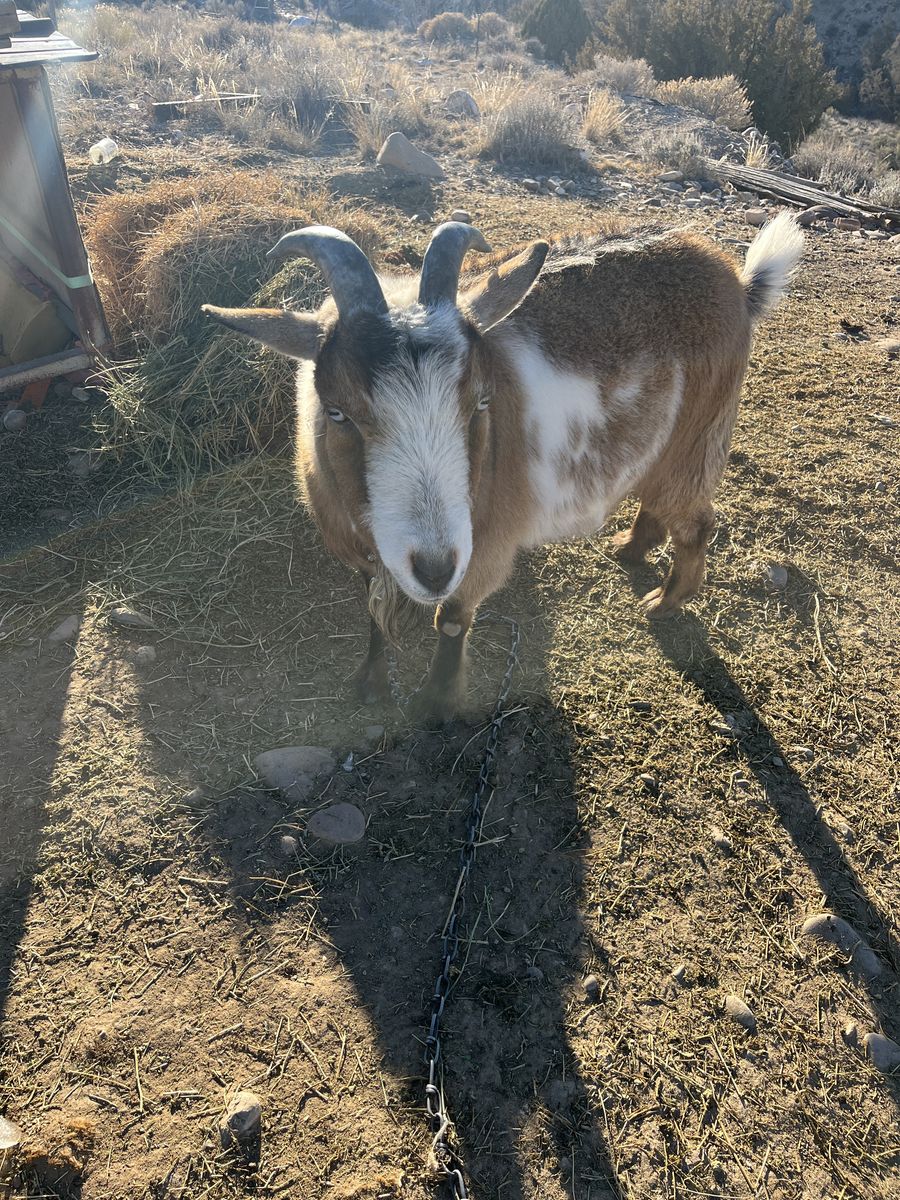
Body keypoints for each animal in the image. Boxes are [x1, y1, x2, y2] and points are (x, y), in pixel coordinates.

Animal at [203, 214, 804, 719]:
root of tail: (737, 281)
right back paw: (629, 549)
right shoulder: (369, 549)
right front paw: (370, 684)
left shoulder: (484, 547)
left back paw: (664, 602)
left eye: (481, 402)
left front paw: (437, 702)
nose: (434, 568)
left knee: (695, 521)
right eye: (337, 412)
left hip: (697, 438)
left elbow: (452, 620)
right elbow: (374, 610)